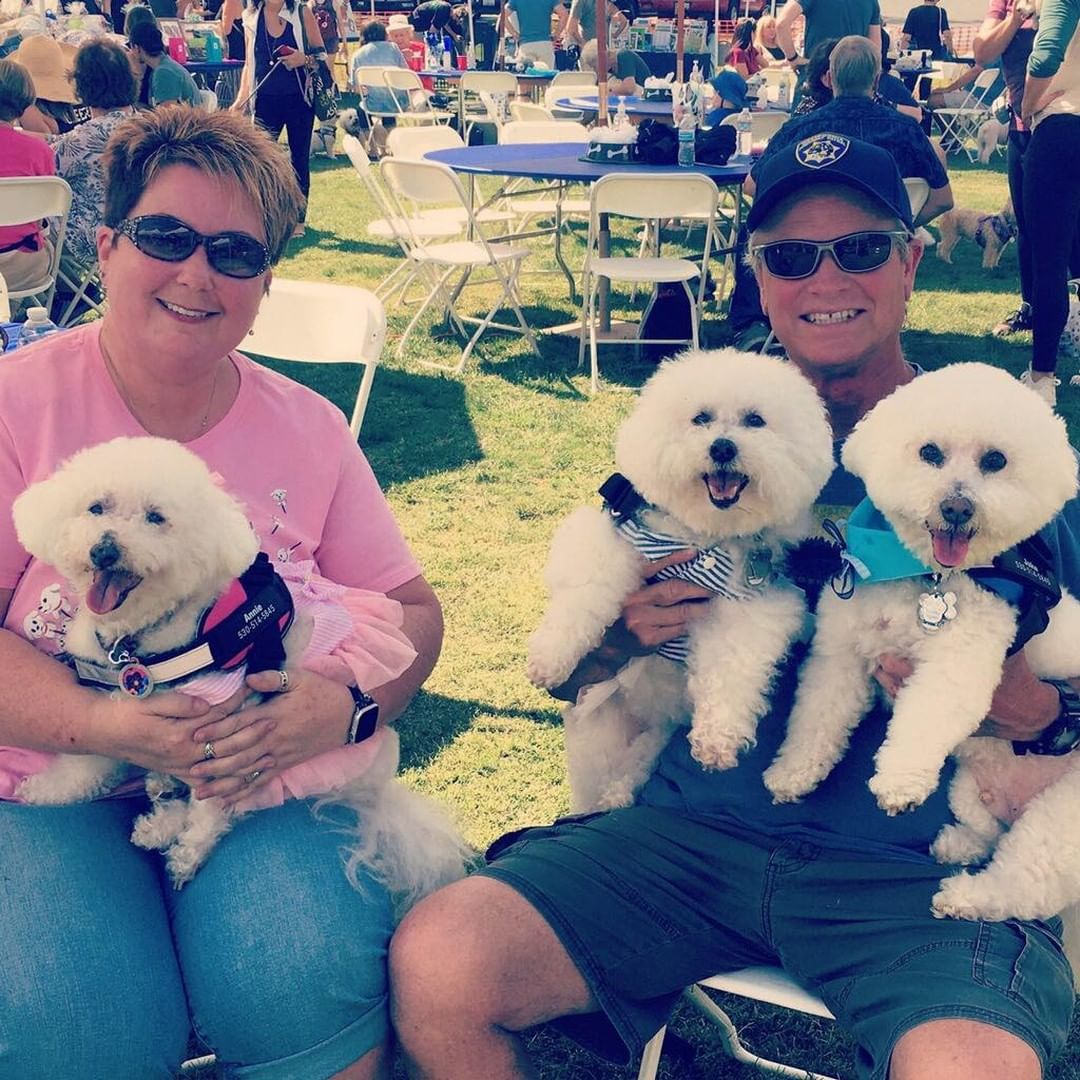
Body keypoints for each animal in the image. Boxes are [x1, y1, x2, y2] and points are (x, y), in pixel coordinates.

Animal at [11, 434, 468, 898]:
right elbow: (89, 760)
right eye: (95, 508)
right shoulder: (119, 713)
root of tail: (377, 792)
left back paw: (165, 827)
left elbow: (211, 810)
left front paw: (186, 857)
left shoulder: (224, 733)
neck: (147, 635)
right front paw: (47, 790)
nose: (104, 550)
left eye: (156, 517)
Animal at [524, 347, 833, 812]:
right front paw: (550, 657)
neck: (703, 535)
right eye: (701, 418)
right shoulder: (612, 538)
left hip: (653, 727)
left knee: (648, 747)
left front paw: (717, 740)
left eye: (755, 420)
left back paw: (622, 788)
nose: (722, 447)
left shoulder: (750, 603)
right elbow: (583, 598)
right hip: (599, 728)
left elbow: (730, 671)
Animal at [764, 360, 1080, 816]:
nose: (957, 507)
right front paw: (793, 772)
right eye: (929, 453)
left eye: (995, 460)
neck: (922, 575)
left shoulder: (957, 660)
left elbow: (926, 716)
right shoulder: (841, 654)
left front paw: (899, 782)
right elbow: (818, 715)